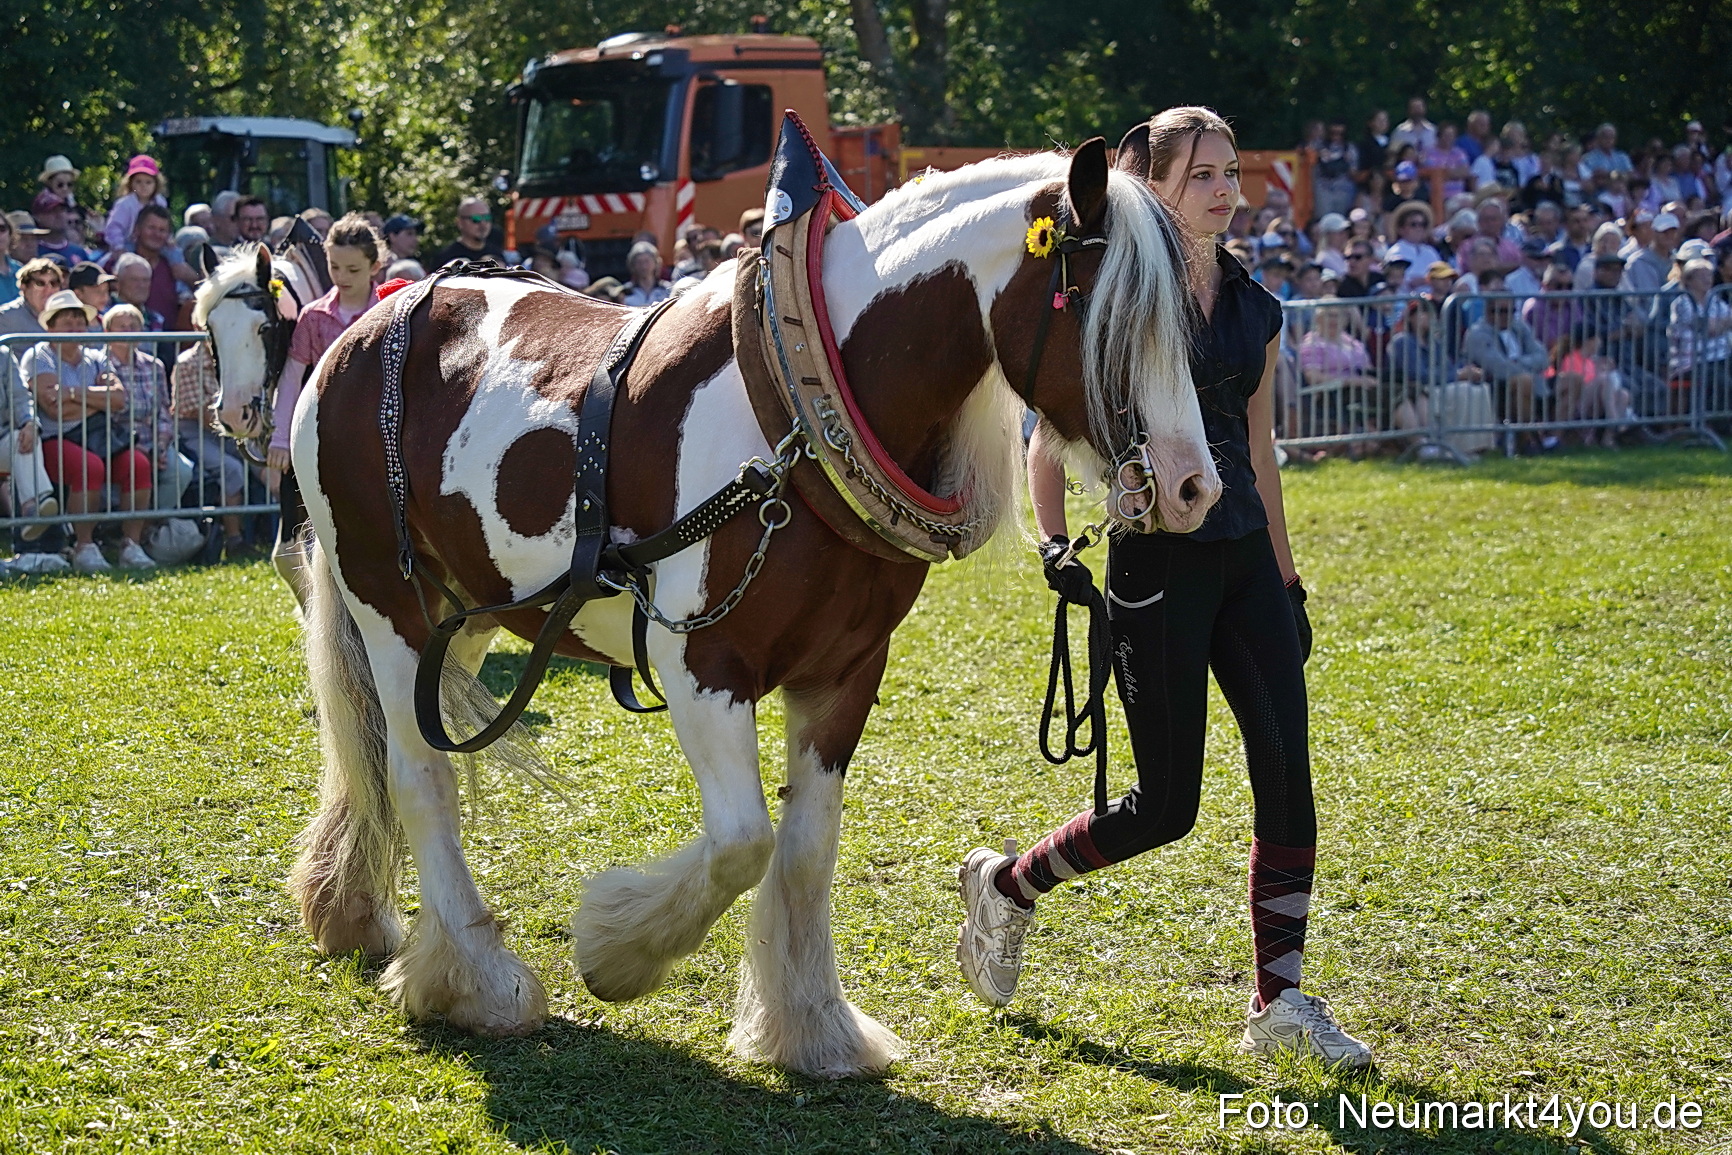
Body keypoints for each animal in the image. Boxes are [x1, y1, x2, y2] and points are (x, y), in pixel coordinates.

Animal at [203, 138, 1219, 1078]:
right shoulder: (699, 664)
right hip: (387, 605)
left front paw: (814, 1030)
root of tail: (357, 334)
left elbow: (805, 849)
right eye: (1105, 307)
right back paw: (478, 983)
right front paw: (614, 949)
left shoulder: (847, 673)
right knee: (420, 777)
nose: (1190, 486)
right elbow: (743, 842)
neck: (801, 425)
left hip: (470, 611)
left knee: (384, 754)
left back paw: (356, 909)